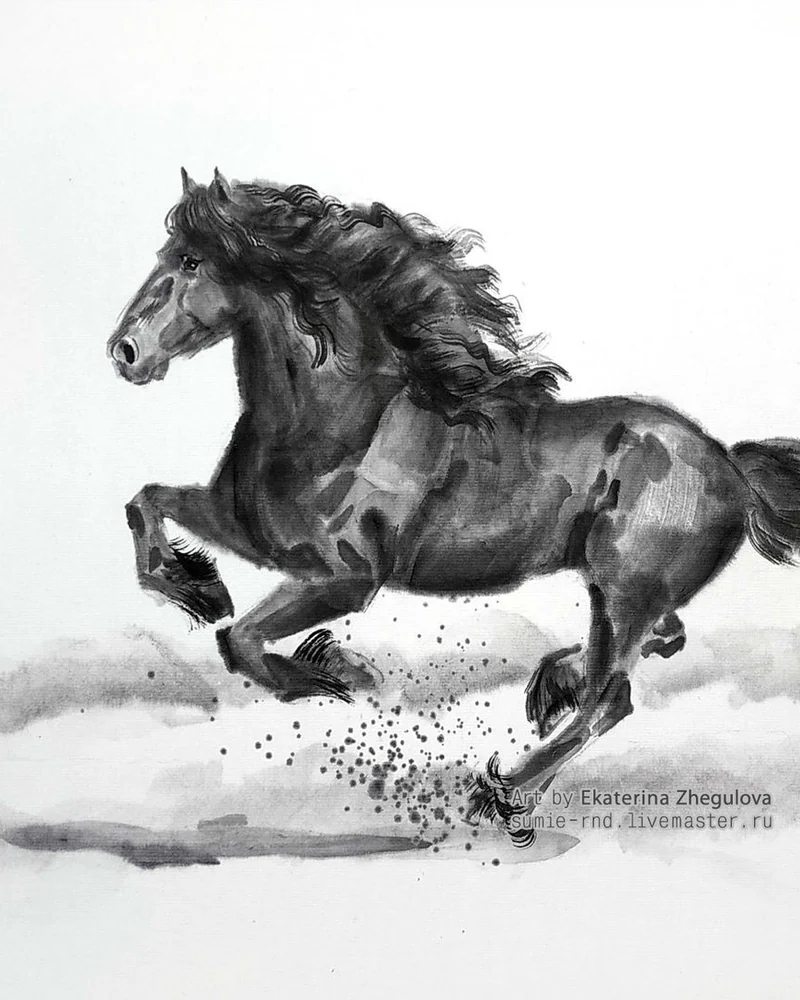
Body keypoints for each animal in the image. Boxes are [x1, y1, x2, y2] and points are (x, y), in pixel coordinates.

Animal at [108, 169, 800, 846]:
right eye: (166, 255)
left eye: (190, 261)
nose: (125, 351)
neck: (333, 422)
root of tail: (731, 466)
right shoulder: (247, 531)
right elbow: (146, 507)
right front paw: (198, 587)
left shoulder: (346, 579)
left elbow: (241, 640)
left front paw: (339, 671)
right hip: (617, 592)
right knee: (656, 645)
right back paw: (555, 683)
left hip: (626, 592)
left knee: (612, 699)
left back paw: (503, 792)